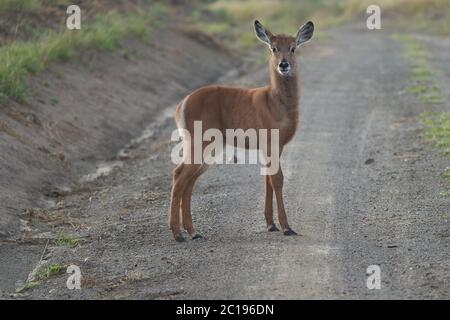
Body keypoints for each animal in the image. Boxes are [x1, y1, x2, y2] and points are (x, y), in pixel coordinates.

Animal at [168, 20, 312, 241]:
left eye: (293, 47)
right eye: (274, 48)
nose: (283, 64)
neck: (277, 102)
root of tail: (181, 104)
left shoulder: (273, 147)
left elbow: (268, 179)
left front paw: (271, 224)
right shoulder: (271, 143)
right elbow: (277, 179)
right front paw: (287, 227)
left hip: (209, 149)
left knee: (189, 179)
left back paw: (193, 232)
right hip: (200, 143)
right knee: (179, 174)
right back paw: (178, 233)